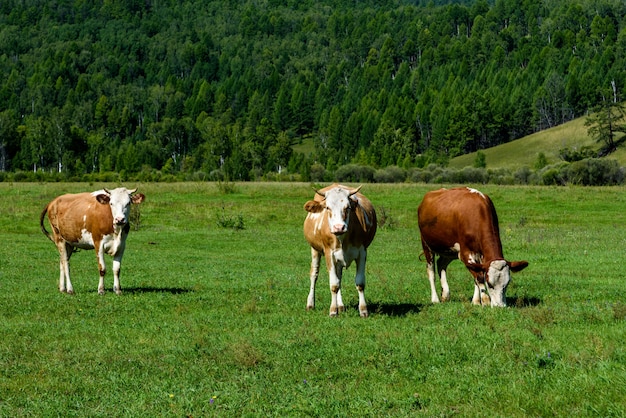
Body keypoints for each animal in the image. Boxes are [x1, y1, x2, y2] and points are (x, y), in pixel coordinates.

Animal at [302, 183, 376, 316]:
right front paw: (333, 310)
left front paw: (363, 310)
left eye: (347, 207)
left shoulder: (362, 252)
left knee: (339, 276)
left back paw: (340, 305)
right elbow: (334, 284)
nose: (339, 227)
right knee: (314, 274)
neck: (342, 239)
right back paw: (310, 304)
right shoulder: (329, 254)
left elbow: (360, 282)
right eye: (327, 207)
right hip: (314, 249)